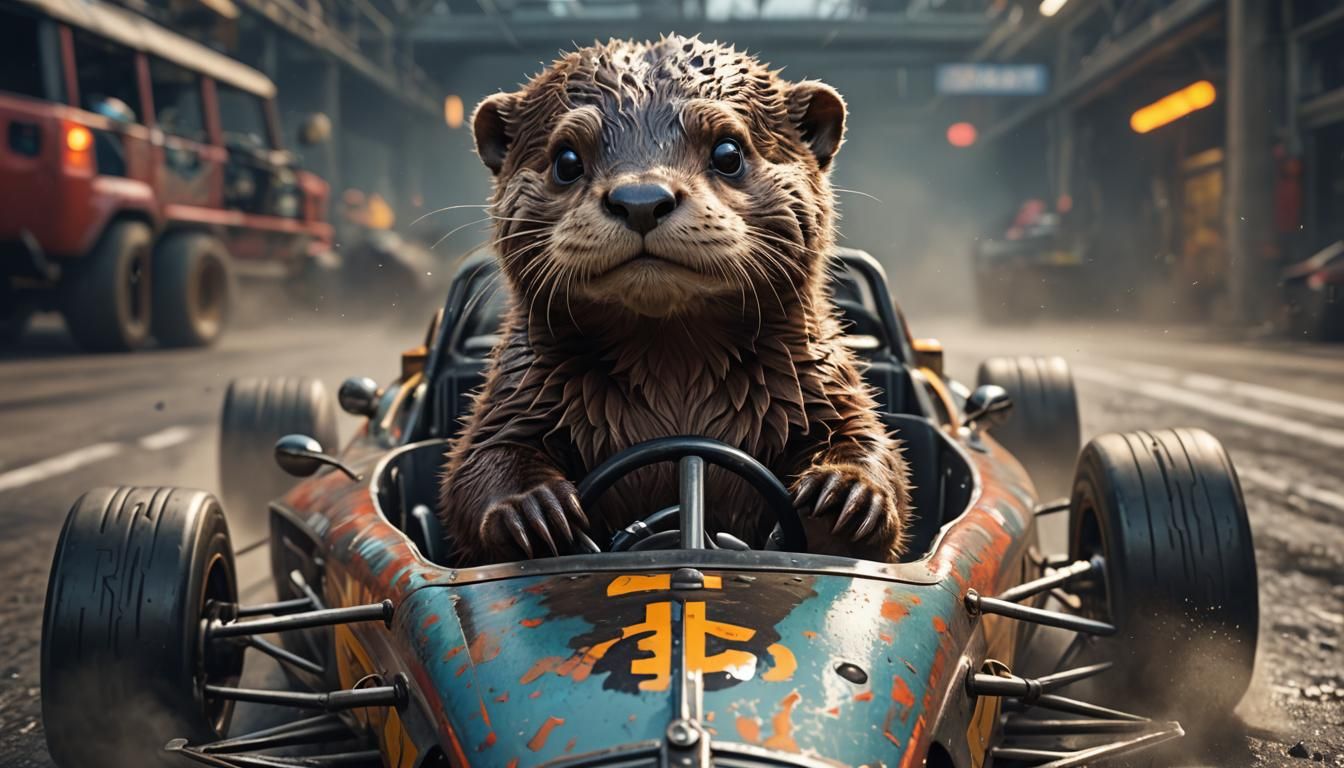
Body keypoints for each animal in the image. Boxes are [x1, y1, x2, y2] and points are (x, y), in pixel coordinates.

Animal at [439, 36, 911, 565]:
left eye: (728, 151)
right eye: (566, 160)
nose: (641, 199)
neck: (674, 386)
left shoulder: (824, 388)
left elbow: (874, 446)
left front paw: (848, 492)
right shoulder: (515, 398)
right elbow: (475, 467)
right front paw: (530, 510)